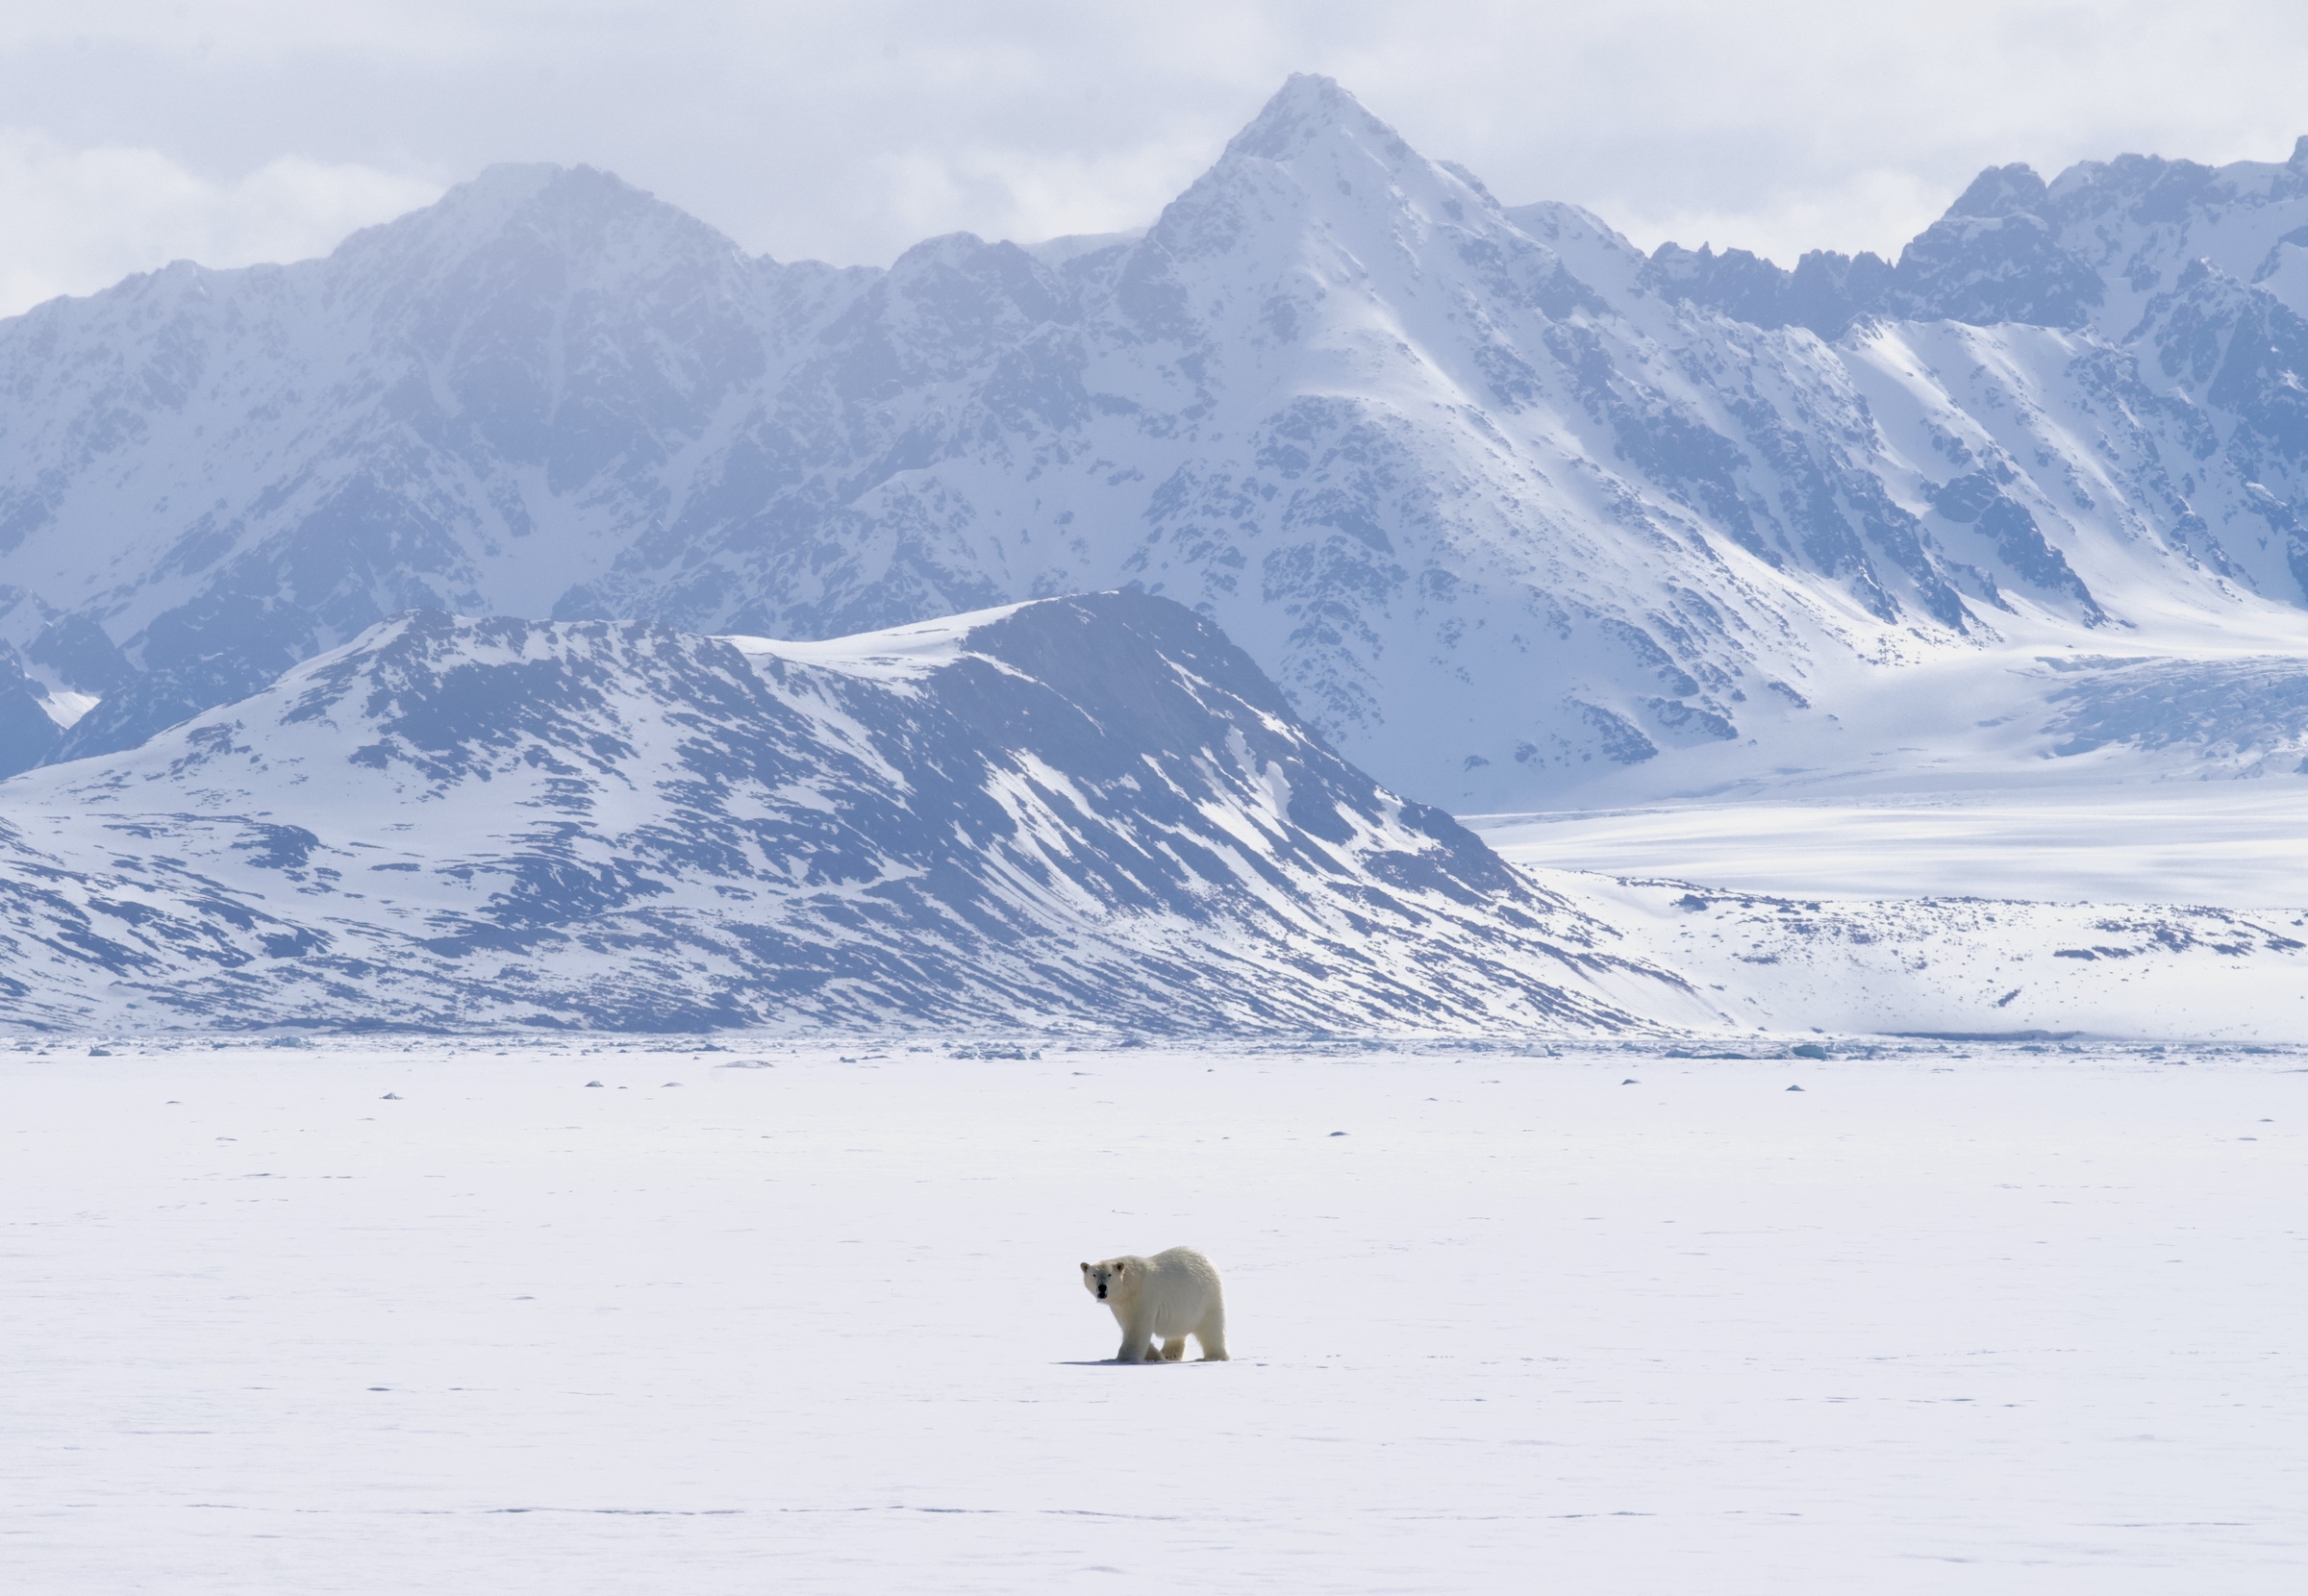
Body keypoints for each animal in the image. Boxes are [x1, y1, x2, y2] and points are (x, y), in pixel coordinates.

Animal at [1079, 1247, 1229, 1363]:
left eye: (1109, 1275)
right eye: (1094, 1275)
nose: (1102, 1288)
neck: (1130, 1285)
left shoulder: (1142, 1298)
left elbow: (1137, 1329)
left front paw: (1122, 1359)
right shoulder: (1120, 1306)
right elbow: (1128, 1326)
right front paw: (1155, 1356)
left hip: (1207, 1297)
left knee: (1211, 1328)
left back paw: (1214, 1356)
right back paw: (1170, 1353)